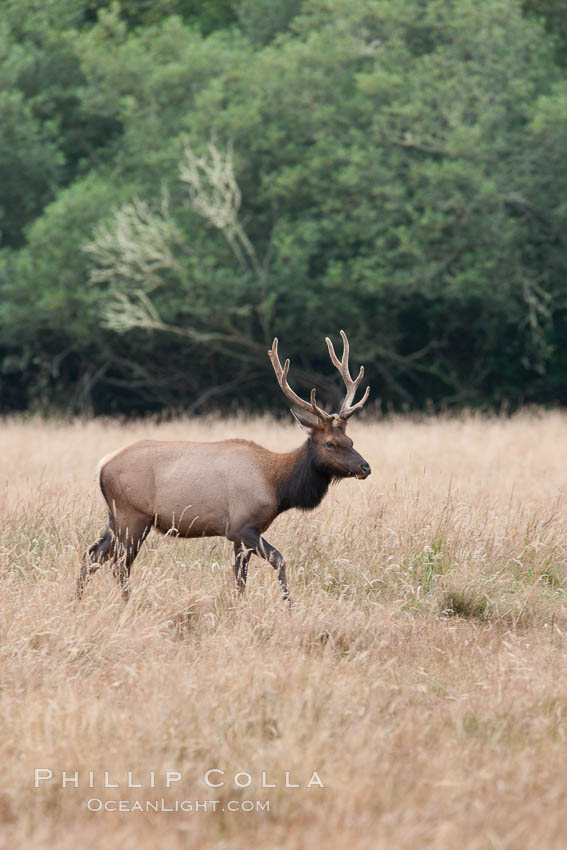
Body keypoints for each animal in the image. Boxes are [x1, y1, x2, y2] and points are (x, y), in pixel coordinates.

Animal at [79, 328, 372, 600]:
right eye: (330, 443)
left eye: (351, 439)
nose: (365, 467)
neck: (278, 485)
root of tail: (102, 466)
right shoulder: (242, 526)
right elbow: (277, 560)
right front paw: (288, 605)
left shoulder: (243, 536)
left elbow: (240, 579)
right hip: (133, 515)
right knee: (119, 564)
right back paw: (127, 602)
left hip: (115, 517)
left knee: (91, 555)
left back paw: (78, 599)